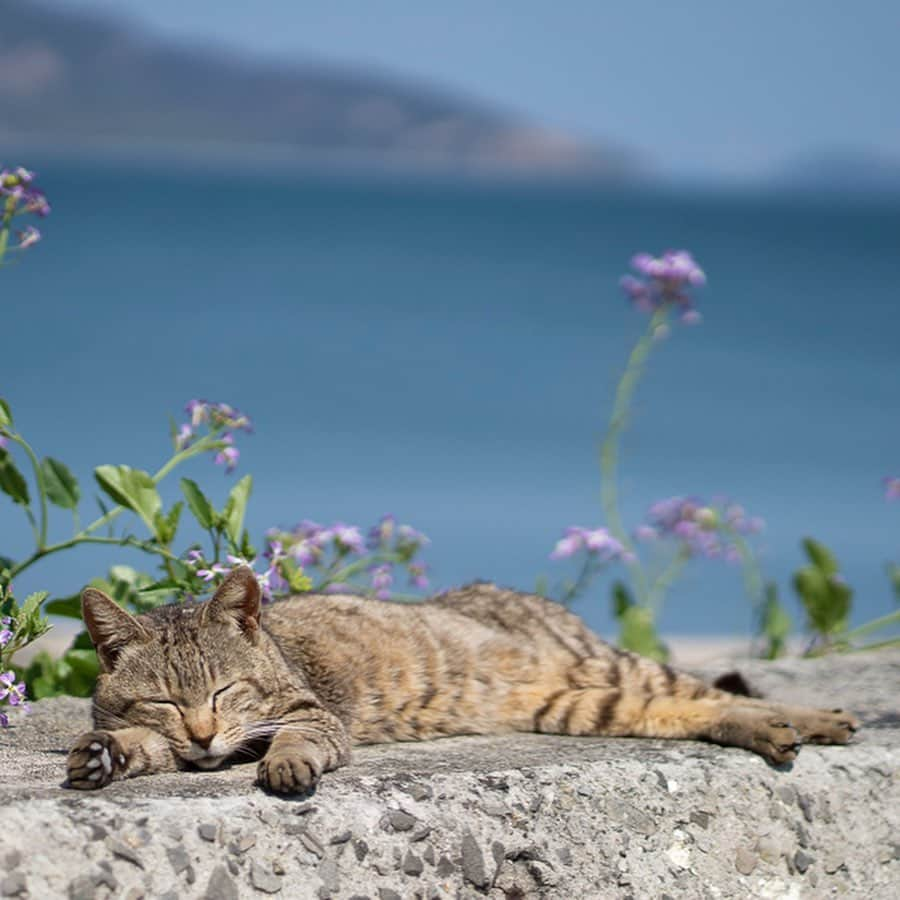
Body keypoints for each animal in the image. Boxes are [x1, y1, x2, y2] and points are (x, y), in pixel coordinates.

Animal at [68, 568, 856, 792]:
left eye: (225, 691)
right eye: (165, 700)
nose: (205, 732)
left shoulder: (313, 714)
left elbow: (294, 736)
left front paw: (284, 764)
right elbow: (139, 745)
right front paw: (105, 756)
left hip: (606, 666)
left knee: (710, 691)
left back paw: (813, 718)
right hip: (581, 705)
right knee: (691, 710)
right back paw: (782, 728)